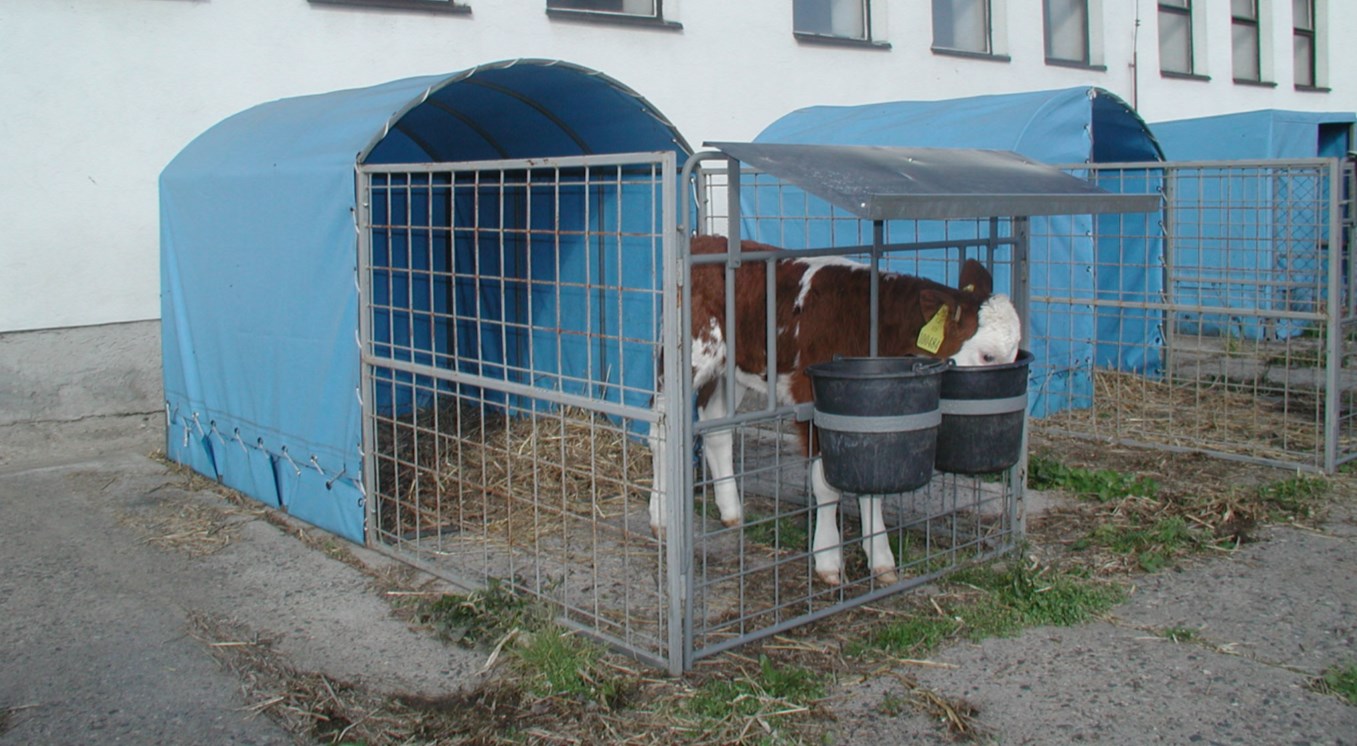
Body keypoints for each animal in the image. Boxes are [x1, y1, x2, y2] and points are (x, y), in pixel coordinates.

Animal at [645, 237, 1020, 588]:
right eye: (987, 355)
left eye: (1016, 352)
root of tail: (706, 238)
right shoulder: (812, 398)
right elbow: (826, 486)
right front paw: (827, 559)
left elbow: (871, 484)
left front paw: (881, 559)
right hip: (687, 356)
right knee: (661, 430)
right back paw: (661, 517)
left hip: (734, 369)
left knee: (717, 430)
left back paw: (732, 511)